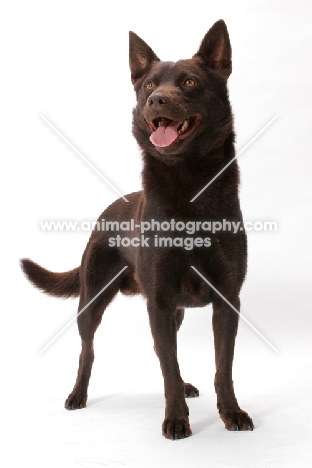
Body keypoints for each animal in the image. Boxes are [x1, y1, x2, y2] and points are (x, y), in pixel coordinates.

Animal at [21, 20, 254, 438]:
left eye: (190, 82)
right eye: (148, 85)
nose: (157, 100)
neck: (188, 181)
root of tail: (107, 211)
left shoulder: (226, 300)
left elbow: (221, 367)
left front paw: (231, 413)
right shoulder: (159, 301)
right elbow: (168, 365)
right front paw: (176, 419)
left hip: (172, 310)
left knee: (164, 351)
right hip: (92, 300)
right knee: (89, 352)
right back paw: (77, 395)